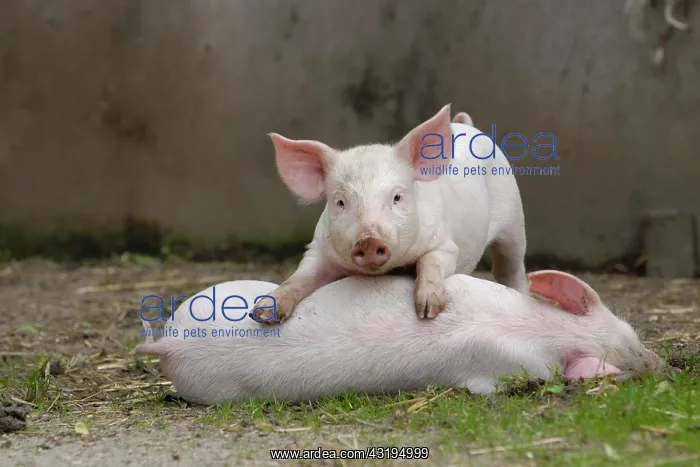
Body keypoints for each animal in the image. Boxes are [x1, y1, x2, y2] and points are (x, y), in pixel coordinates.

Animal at [134, 270, 666, 406]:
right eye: (631, 356)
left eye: (633, 333)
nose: (660, 363)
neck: (540, 329)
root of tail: (168, 344)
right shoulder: (497, 369)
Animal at [250, 104, 529, 324]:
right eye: (340, 202)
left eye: (397, 197)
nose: (368, 240)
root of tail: (467, 125)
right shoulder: (318, 248)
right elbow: (300, 276)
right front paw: (262, 313)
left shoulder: (445, 243)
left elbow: (432, 261)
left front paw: (427, 312)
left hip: (514, 220)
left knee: (511, 269)